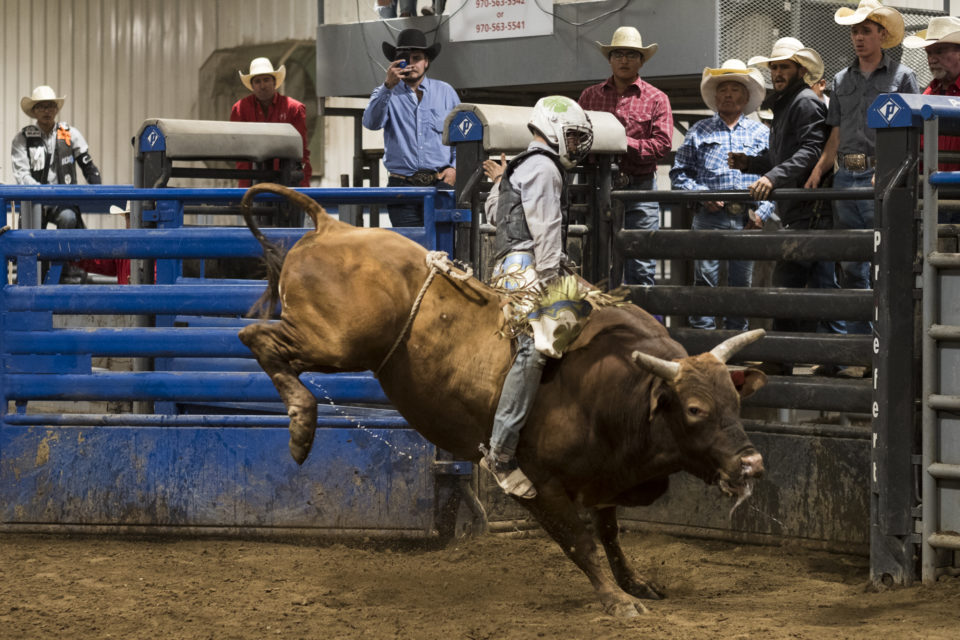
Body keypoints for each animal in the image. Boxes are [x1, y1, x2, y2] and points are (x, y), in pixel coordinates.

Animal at [242, 182, 772, 616]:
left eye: (735, 403)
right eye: (695, 410)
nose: (752, 464)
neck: (616, 388)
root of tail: (330, 226)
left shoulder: (606, 478)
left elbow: (610, 536)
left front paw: (636, 583)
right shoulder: (541, 484)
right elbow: (579, 541)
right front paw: (616, 600)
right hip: (338, 343)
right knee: (258, 337)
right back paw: (301, 424)